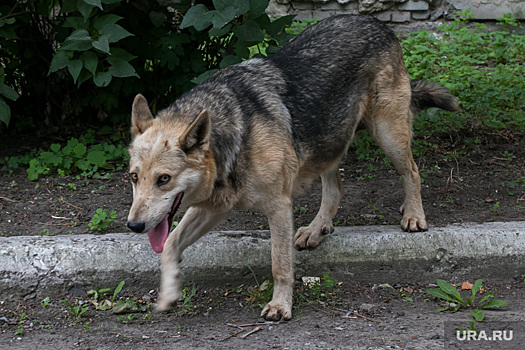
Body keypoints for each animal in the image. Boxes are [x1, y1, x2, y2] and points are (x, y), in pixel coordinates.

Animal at [125, 13, 456, 320]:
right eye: (133, 178)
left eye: (164, 179)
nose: (133, 227)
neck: (235, 135)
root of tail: (373, 20)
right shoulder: (214, 208)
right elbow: (170, 245)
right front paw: (168, 295)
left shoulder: (279, 207)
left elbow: (279, 265)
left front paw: (280, 305)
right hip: (328, 143)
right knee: (336, 188)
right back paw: (317, 228)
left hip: (387, 136)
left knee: (412, 171)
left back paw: (414, 215)